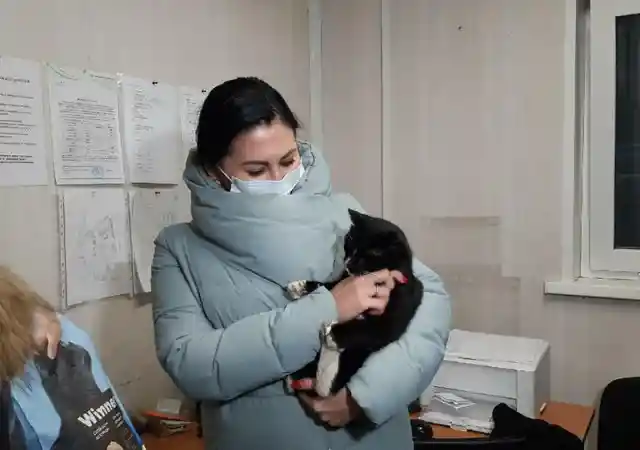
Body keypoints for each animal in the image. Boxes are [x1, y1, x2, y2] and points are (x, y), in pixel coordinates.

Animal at [288, 209, 422, 396]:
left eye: (366, 256)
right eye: (349, 248)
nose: (348, 264)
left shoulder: (396, 313)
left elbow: (371, 330)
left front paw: (333, 335)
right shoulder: (344, 279)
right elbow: (331, 285)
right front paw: (301, 286)